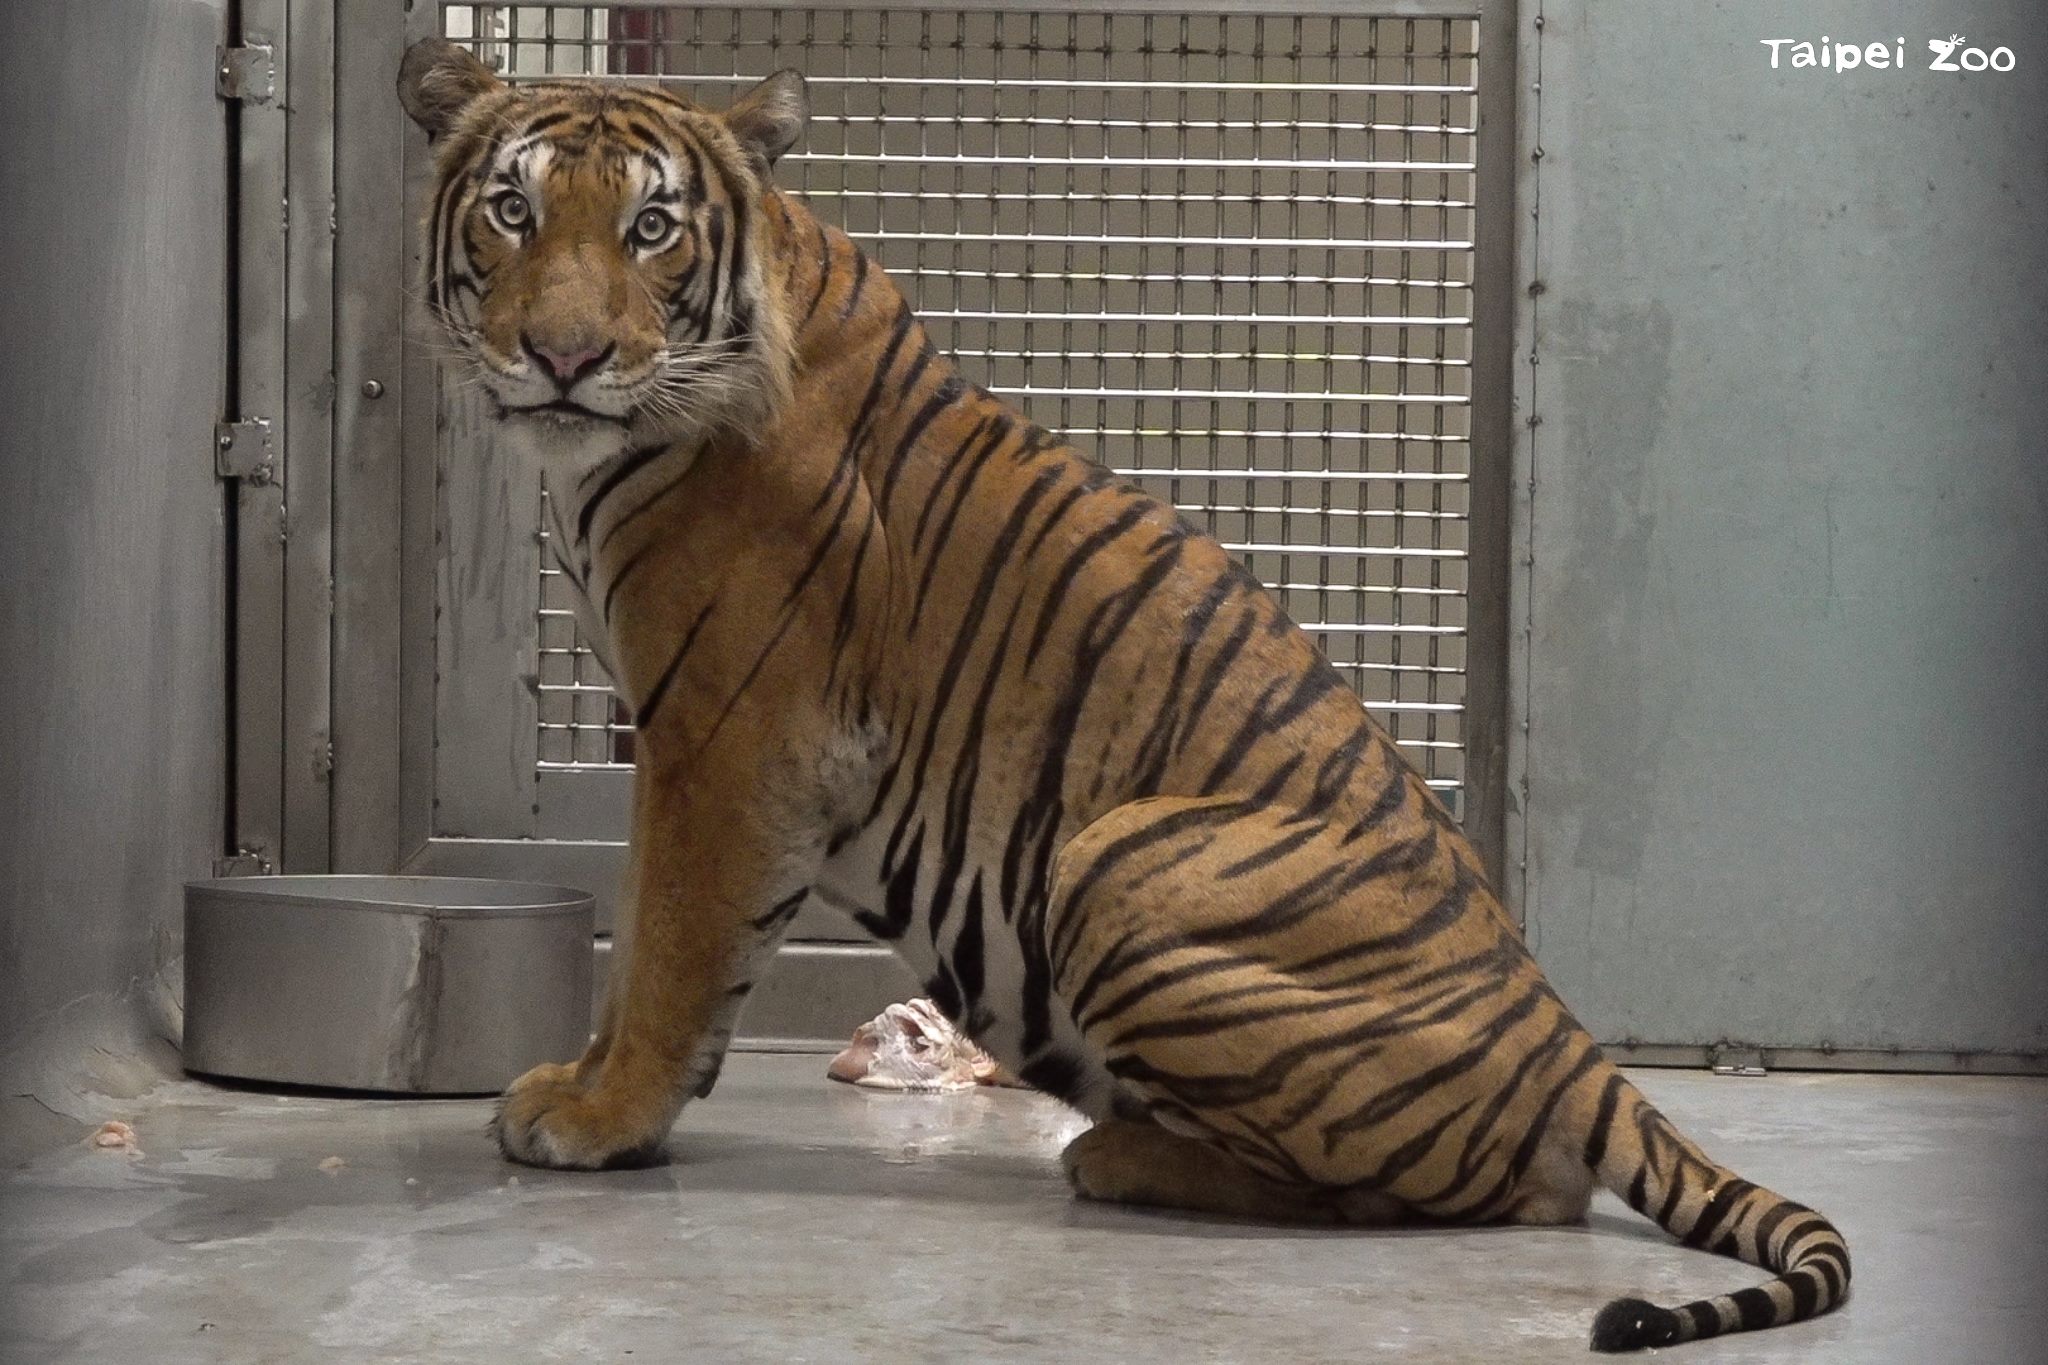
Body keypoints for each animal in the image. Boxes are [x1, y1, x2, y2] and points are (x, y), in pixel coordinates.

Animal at [397, 36, 1850, 1353]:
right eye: (514, 209)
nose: (564, 357)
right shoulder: (682, 737)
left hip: (1117, 855)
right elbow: (636, 927)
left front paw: (601, 1118)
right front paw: (576, 1085)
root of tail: (1571, 1040)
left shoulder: (730, 734)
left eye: (649, 229)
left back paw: (1116, 1155)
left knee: (1473, 1193)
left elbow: (671, 945)